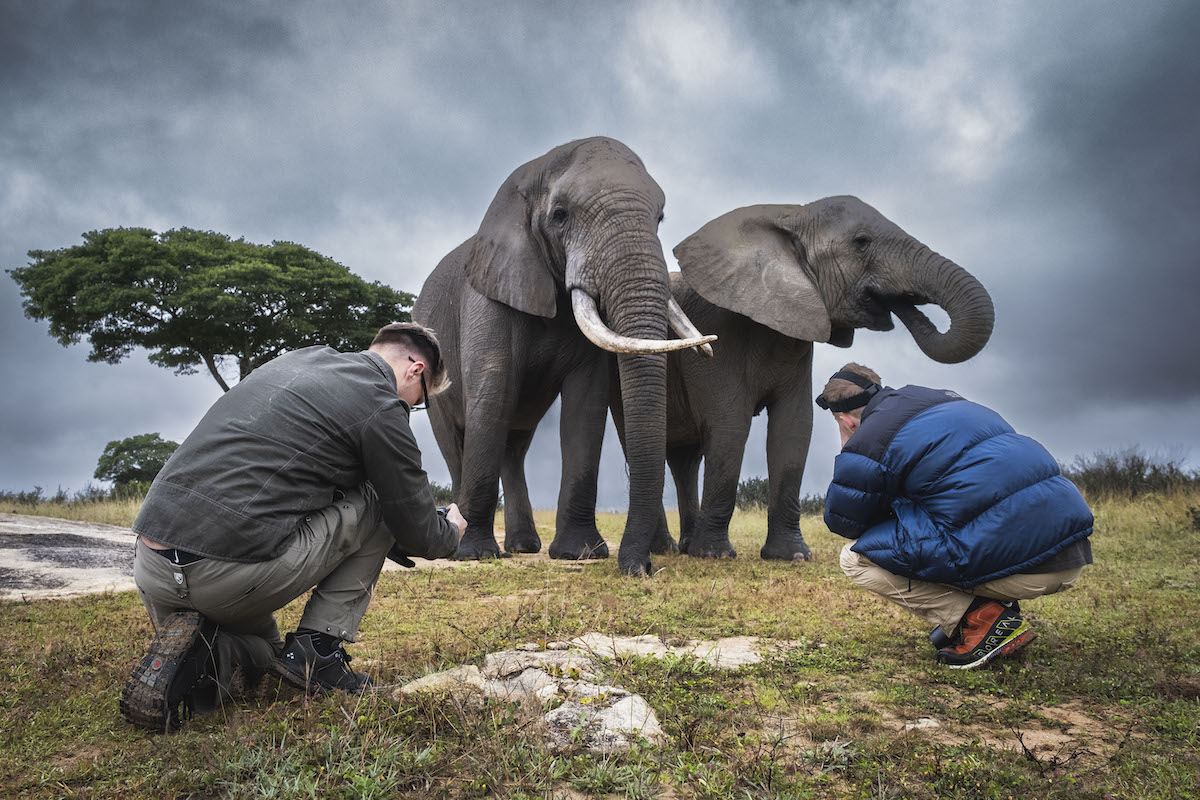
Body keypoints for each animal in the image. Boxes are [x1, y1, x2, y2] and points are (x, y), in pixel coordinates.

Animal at [412, 137, 710, 575]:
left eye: (660, 218)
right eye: (560, 216)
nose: (641, 568)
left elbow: (585, 406)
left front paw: (579, 553)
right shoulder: (487, 295)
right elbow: (493, 391)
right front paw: (477, 554)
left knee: (514, 448)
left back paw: (523, 546)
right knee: (455, 443)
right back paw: (463, 546)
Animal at [609, 199, 993, 563]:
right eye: (861, 242)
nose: (904, 308)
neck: (790, 216)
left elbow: (794, 427)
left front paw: (792, 556)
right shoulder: (716, 330)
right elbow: (731, 425)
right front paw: (715, 555)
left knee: (685, 460)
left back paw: (684, 547)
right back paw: (667, 549)